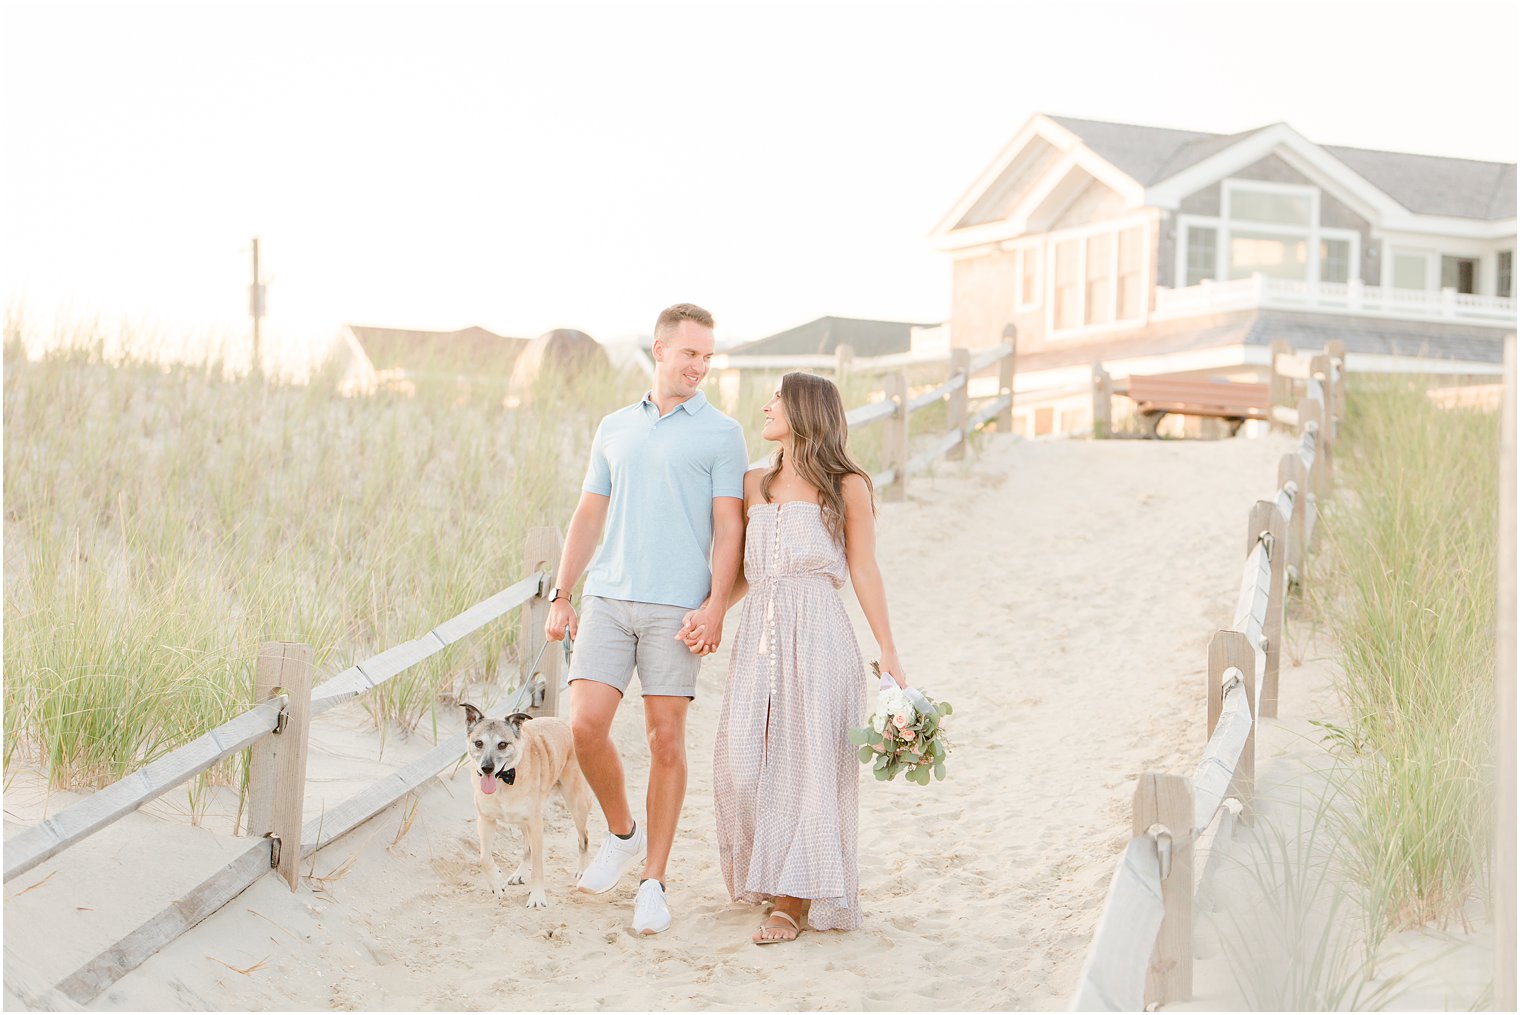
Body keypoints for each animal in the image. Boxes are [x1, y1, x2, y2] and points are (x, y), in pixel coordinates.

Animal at [459, 705, 589, 911]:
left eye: (502, 744)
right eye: (478, 743)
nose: (487, 768)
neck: (503, 780)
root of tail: (566, 723)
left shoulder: (536, 824)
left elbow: (538, 866)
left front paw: (537, 896)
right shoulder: (486, 820)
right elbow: (484, 858)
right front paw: (496, 883)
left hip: (576, 804)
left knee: (583, 839)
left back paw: (583, 871)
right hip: (521, 821)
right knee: (527, 848)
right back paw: (519, 873)